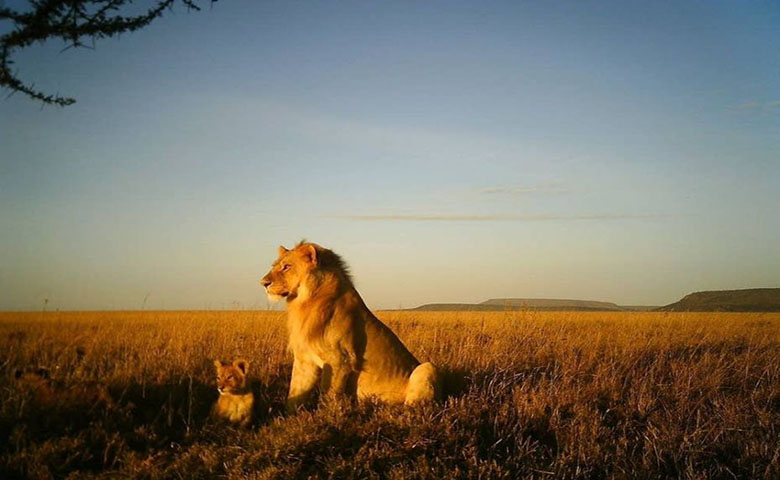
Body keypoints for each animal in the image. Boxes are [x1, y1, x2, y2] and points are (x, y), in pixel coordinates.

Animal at [258, 242, 436, 410]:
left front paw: (327, 416)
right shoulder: (304, 360)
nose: (263, 283)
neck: (306, 302)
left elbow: (329, 395)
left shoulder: (340, 360)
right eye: (274, 266)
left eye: (287, 266)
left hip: (428, 367)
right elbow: (295, 393)